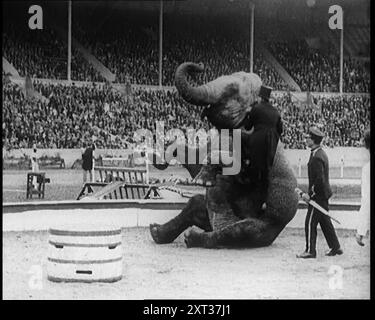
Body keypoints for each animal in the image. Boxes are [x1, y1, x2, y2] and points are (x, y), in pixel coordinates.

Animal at [148, 62, 298, 248]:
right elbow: (197, 162)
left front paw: (202, 181)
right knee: (195, 204)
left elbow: (243, 172)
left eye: (232, 90)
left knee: (238, 231)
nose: (200, 67)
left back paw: (192, 237)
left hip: (266, 227)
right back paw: (156, 232)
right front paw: (160, 157)